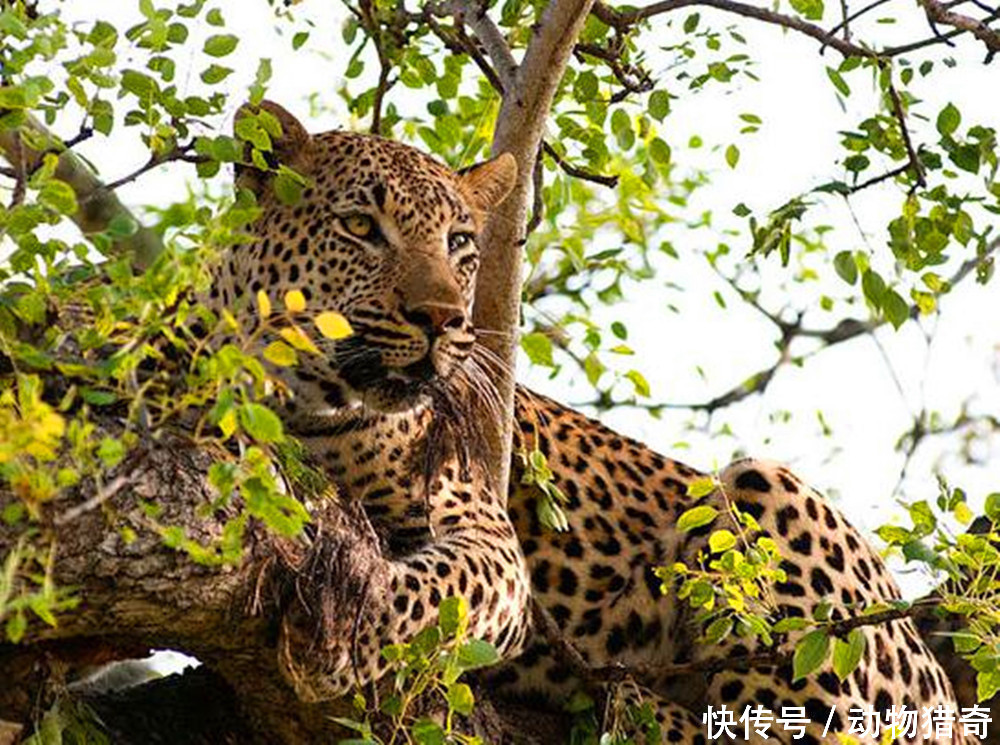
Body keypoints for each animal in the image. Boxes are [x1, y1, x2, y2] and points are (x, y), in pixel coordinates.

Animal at [213, 100, 976, 744]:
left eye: (460, 244)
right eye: (360, 228)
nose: (442, 319)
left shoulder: (487, 535)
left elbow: (435, 588)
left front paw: (345, 636)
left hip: (767, 497)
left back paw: (627, 697)